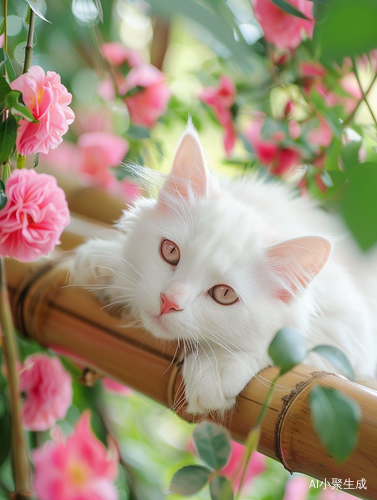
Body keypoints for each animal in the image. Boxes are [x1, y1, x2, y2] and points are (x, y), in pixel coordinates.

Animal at [70, 123, 376, 412]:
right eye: (170, 251)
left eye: (224, 294)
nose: (168, 301)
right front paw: (105, 261)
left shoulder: (352, 333)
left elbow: (291, 344)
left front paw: (217, 367)